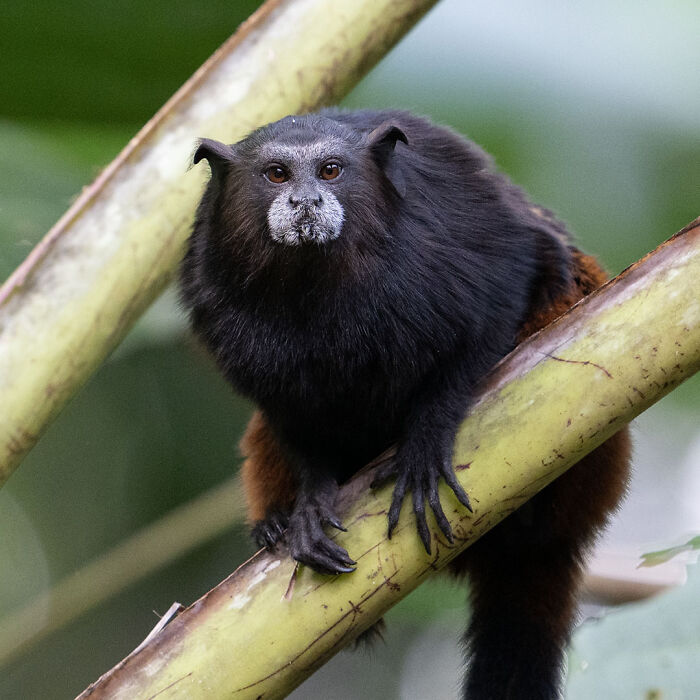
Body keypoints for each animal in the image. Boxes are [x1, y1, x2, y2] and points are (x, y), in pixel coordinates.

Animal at [179, 109, 630, 699]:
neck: (315, 283)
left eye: (330, 170)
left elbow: (499, 299)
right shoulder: (215, 299)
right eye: (277, 174)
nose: (306, 202)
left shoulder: (457, 234)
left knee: (562, 277)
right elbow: (285, 413)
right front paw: (308, 502)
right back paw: (273, 525)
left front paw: (424, 445)